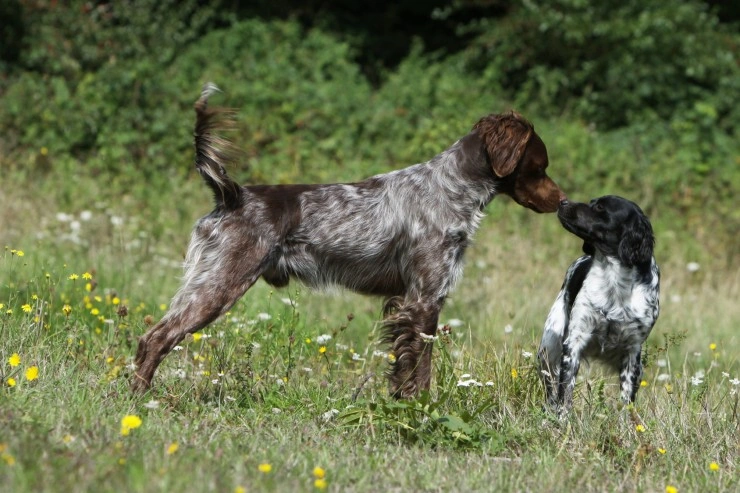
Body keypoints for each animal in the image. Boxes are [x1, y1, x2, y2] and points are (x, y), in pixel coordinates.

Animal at [132, 83, 568, 396]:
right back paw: (140, 400)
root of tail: (231, 194)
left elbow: (402, 369)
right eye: (540, 166)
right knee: (155, 338)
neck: (452, 188)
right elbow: (421, 371)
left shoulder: (400, 303)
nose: (563, 200)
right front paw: (422, 412)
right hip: (218, 285)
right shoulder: (424, 301)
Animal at [536, 194, 660, 414]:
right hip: (548, 350)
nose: (562, 201)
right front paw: (561, 420)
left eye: (601, 207)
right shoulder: (574, 342)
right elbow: (564, 395)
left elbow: (626, 402)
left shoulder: (632, 351)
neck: (614, 280)